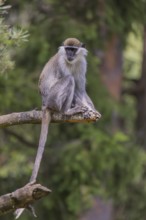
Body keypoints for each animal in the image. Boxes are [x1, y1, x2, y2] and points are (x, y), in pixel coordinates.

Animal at [14, 38, 99, 218]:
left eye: (73, 49)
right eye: (67, 49)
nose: (69, 55)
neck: (72, 62)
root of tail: (44, 104)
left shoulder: (82, 63)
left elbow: (81, 89)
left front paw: (92, 110)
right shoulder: (62, 64)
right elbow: (73, 84)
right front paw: (83, 108)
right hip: (53, 98)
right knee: (69, 79)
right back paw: (67, 111)